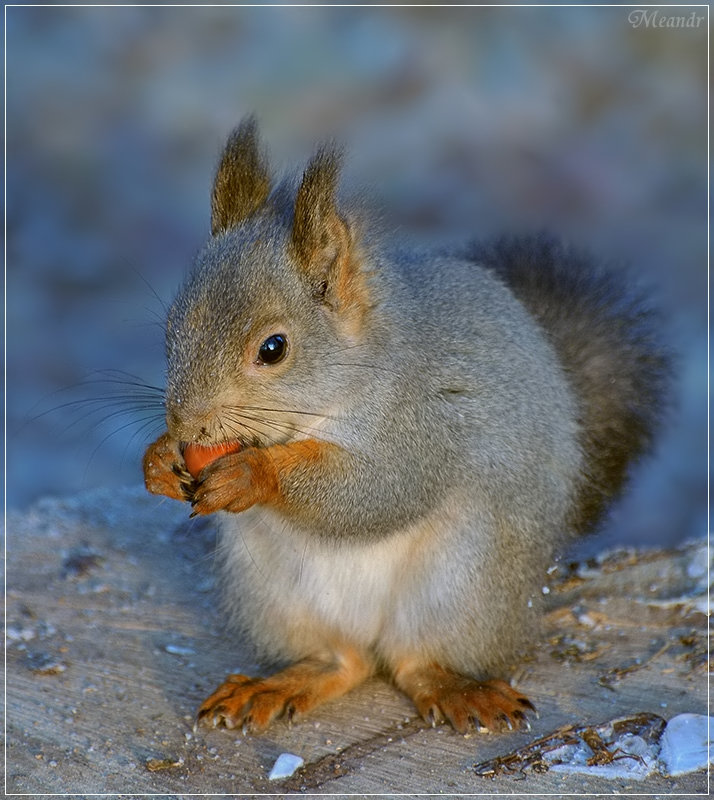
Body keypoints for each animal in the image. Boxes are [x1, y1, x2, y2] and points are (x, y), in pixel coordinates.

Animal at [143, 115, 668, 736]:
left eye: (273, 349)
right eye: (171, 329)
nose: (187, 424)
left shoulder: (425, 422)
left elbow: (381, 490)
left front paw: (252, 474)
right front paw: (157, 460)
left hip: (463, 585)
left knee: (415, 662)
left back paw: (456, 688)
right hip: (273, 593)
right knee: (343, 663)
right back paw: (278, 684)